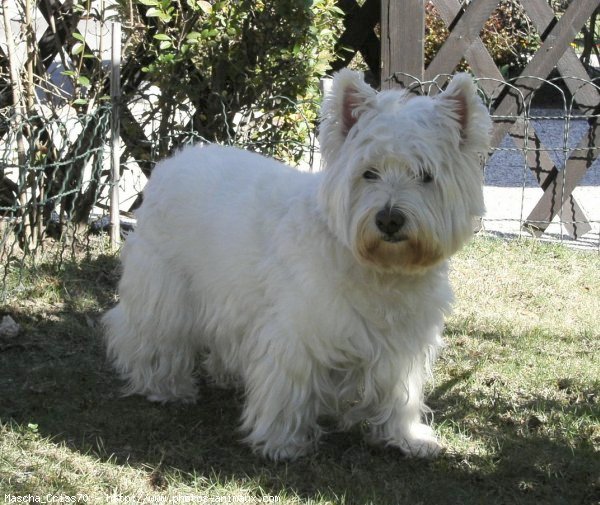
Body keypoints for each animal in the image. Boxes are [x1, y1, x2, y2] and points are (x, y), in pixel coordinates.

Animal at [104, 71, 492, 460]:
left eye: (426, 175)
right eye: (369, 173)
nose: (389, 219)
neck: (380, 270)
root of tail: (174, 161)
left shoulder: (401, 347)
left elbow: (400, 394)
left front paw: (408, 437)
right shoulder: (295, 334)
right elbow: (287, 388)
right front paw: (282, 443)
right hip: (164, 287)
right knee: (149, 335)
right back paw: (164, 387)